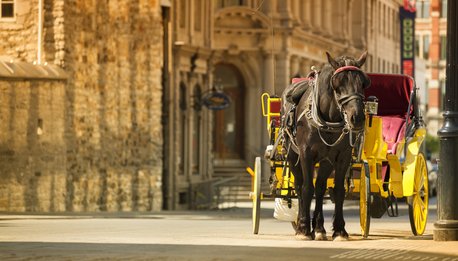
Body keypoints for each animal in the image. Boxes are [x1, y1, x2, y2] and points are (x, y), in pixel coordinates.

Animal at [280, 50, 370, 240]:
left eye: (363, 82)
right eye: (338, 83)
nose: (357, 118)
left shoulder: (342, 157)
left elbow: (337, 190)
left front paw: (339, 230)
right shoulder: (306, 154)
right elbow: (307, 188)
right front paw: (304, 229)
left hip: (326, 161)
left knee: (321, 187)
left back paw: (319, 228)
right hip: (292, 155)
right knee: (299, 186)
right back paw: (303, 224)